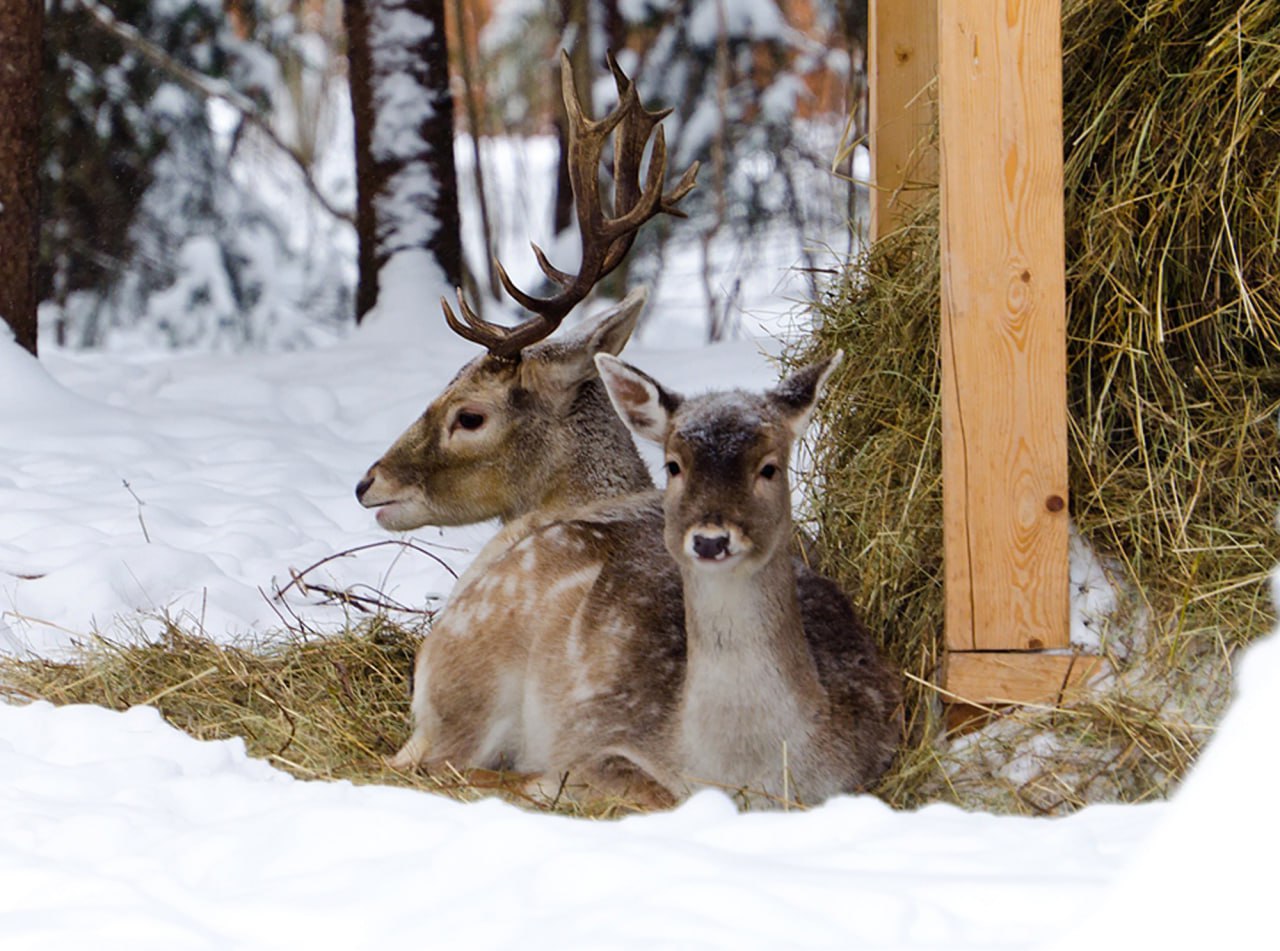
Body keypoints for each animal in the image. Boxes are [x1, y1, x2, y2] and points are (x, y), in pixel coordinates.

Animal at [389, 353, 901, 808]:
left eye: (769, 467)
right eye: (673, 465)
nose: (711, 540)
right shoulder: (602, 738)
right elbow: (648, 793)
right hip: (471, 685)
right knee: (424, 764)